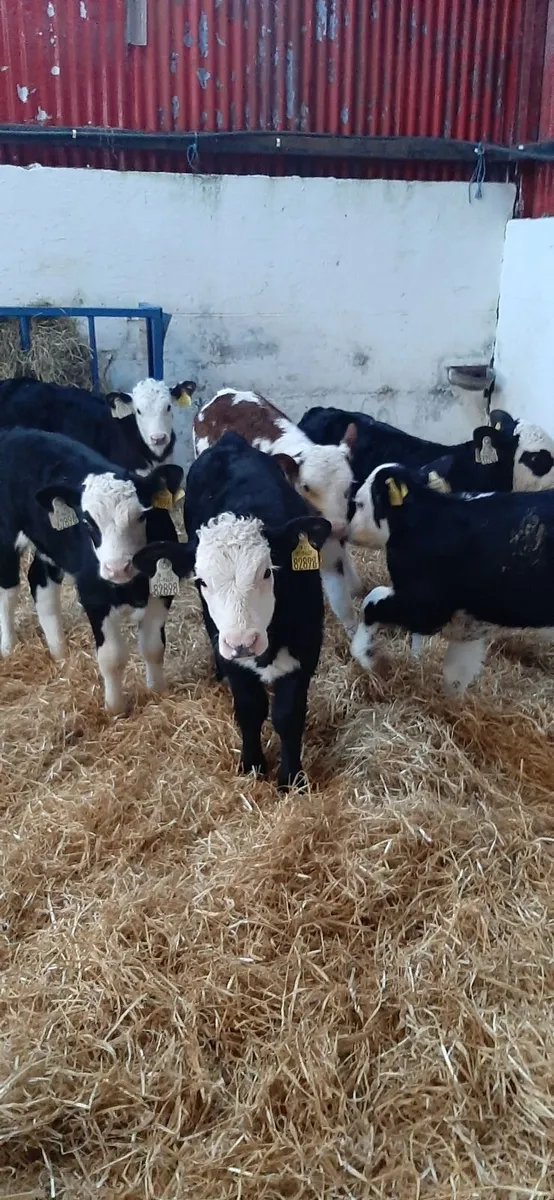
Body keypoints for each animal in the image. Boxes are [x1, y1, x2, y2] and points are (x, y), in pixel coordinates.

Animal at [0, 427, 184, 713]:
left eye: (142, 515)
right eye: (87, 522)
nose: (117, 568)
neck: (132, 587)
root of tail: (15, 432)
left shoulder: (161, 592)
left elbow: (153, 647)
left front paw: (158, 691)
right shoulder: (94, 595)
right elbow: (111, 657)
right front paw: (115, 708)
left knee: (40, 582)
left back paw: (59, 652)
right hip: (5, 537)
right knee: (7, 591)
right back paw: (8, 646)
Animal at [134, 432, 330, 789]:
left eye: (267, 572)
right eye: (201, 581)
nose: (242, 642)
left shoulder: (306, 648)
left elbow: (288, 714)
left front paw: (291, 777)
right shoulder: (232, 656)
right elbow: (251, 708)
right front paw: (252, 765)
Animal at [348, 460, 554, 695]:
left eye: (360, 504)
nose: (348, 529)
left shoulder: (426, 606)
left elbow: (371, 601)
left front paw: (366, 656)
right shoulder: (470, 617)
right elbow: (456, 671)